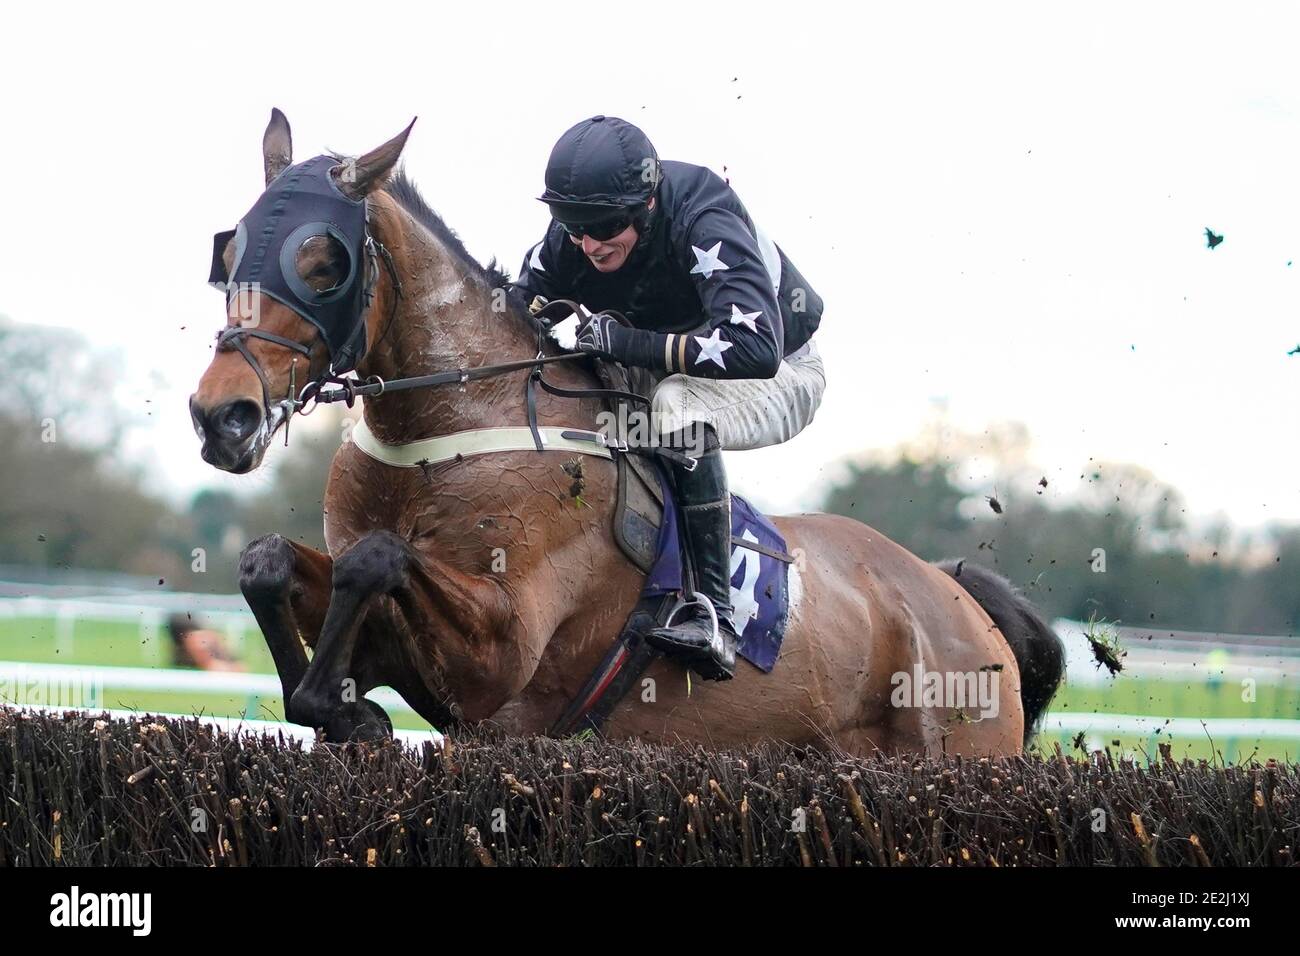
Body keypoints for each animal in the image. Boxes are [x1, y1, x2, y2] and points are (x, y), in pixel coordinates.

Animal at [192, 110, 1066, 754]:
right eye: (228, 252)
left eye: (322, 263)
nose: (220, 415)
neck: (447, 433)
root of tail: (961, 600)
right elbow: (269, 564)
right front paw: (344, 707)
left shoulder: (500, 657)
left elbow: (376, 557)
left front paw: (345, 708)